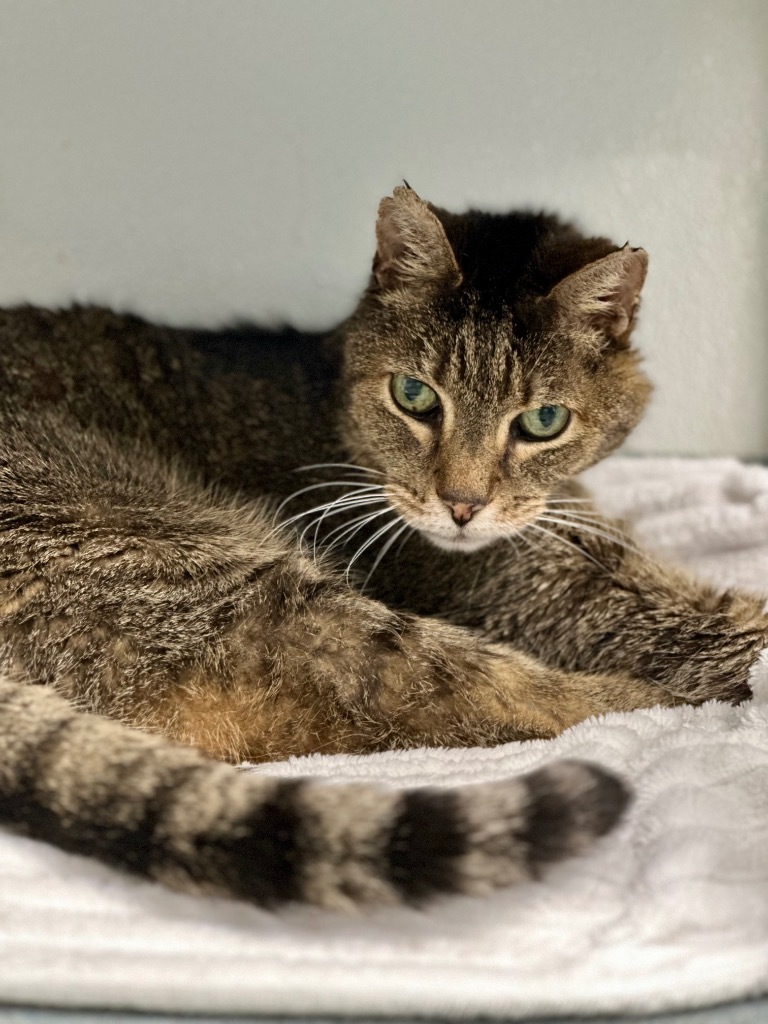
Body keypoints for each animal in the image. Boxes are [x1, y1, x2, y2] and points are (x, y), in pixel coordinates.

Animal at [0, 186, 765, 913]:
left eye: (544, 421)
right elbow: (723, 634)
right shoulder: (556, 599)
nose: (462, 505)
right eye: (414, 395)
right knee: (466, 700)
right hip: (233, 578)